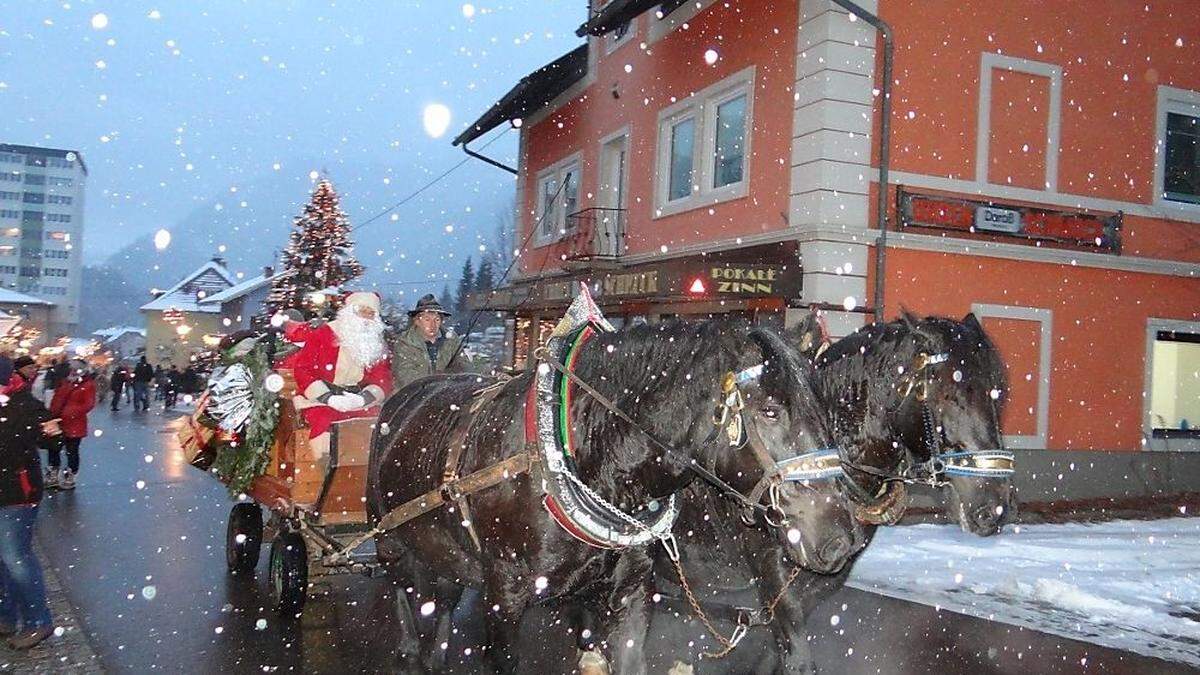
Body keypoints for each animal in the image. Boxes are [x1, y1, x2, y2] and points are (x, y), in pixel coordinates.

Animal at [364, 317, 864, 667]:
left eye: (822, 408)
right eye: (771, 410)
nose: (840, 539)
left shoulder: (630, 591)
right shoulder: (503, 596)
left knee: (443, 597)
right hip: (390, 541)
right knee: (408, 593)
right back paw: (411, 646)